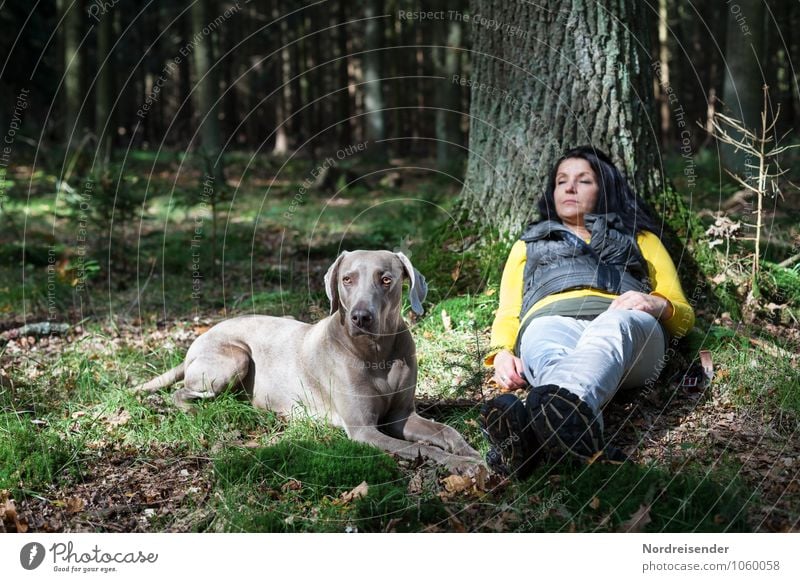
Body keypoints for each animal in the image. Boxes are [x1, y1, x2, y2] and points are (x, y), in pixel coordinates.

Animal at [133, 250, 482, 470]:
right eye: (347, 279)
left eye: (386, 279)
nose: (361, 317)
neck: (376, 353)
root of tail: (198, 340)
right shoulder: (363, 431)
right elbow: (421, 447)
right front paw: (461, 464)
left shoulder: (400, 416)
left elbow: (446, 432)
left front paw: (471, 452)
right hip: (235, 358)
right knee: (182, 393)